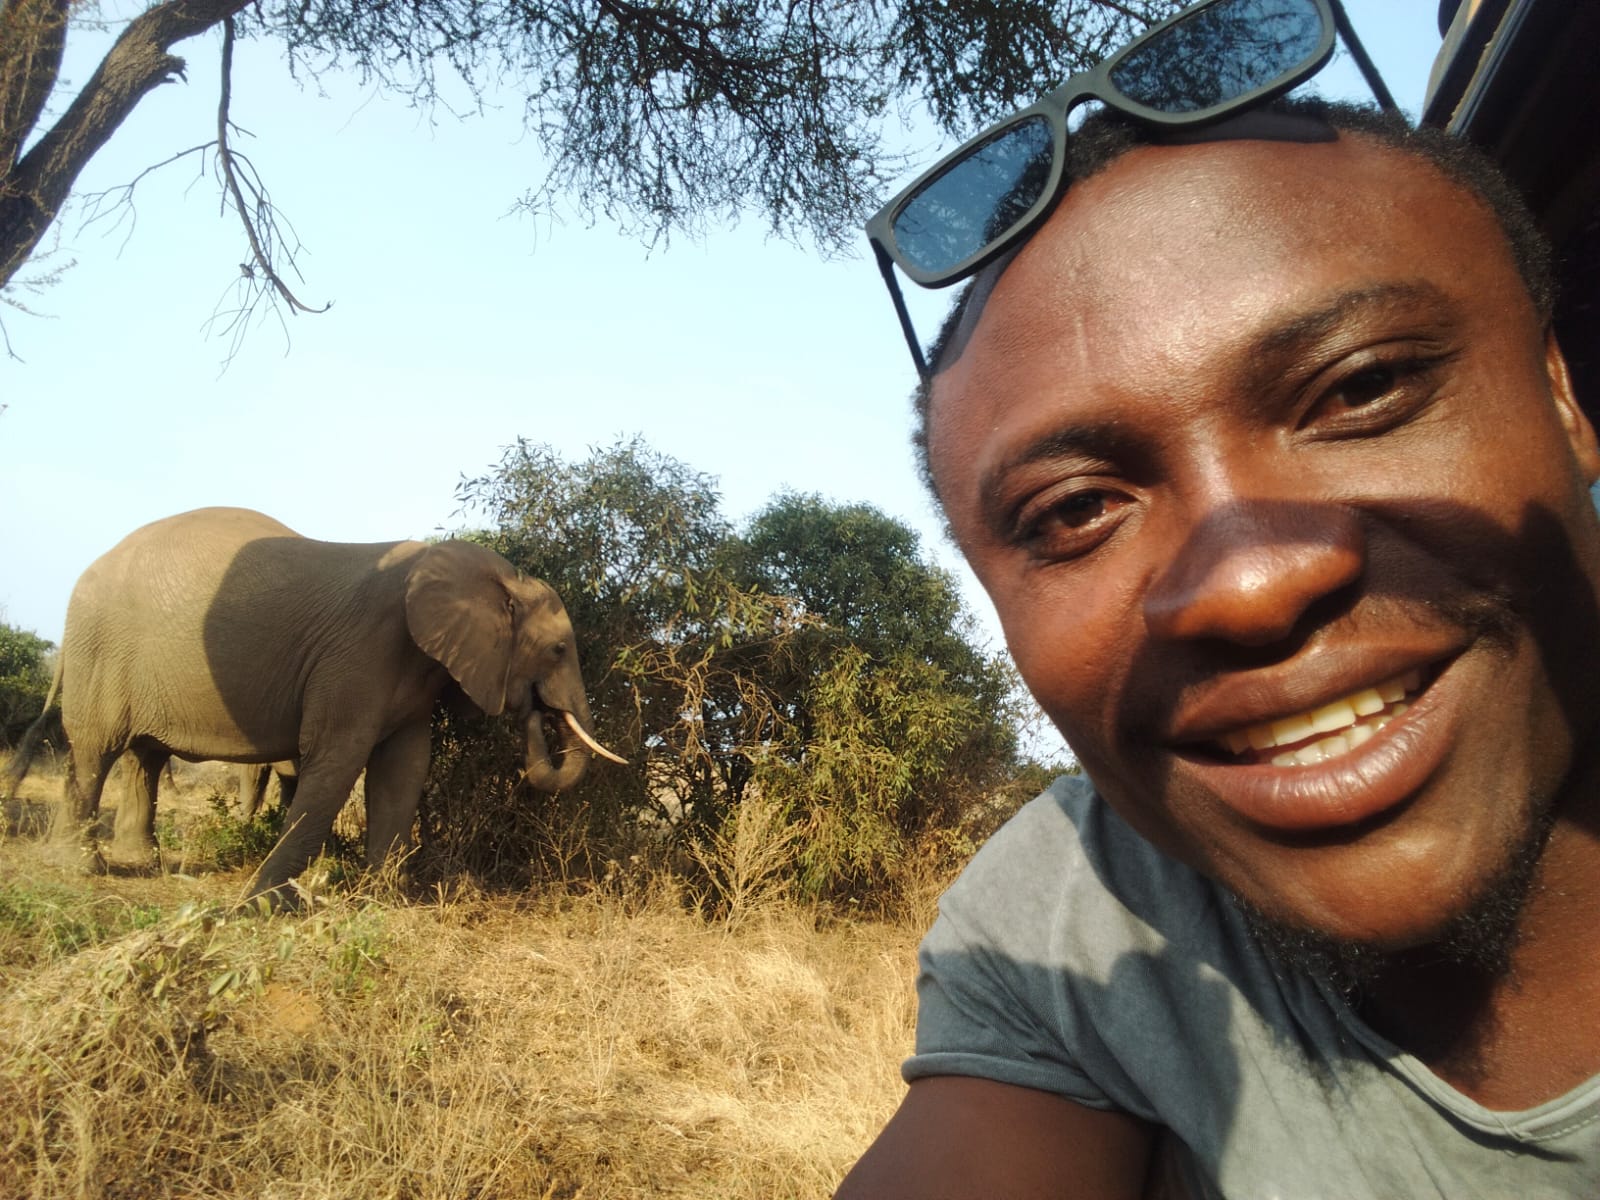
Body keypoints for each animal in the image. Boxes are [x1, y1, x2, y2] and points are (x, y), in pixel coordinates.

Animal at [5, 506, 622, 901]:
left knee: (145, 757)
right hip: (99, 651)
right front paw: (263, 901)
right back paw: (78, 869)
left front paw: (383, 899)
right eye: (559, 649)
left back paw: (139, 864)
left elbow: (403, 769)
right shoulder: (362, 651)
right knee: (97, 751)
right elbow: (337, 759)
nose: (538, 715)